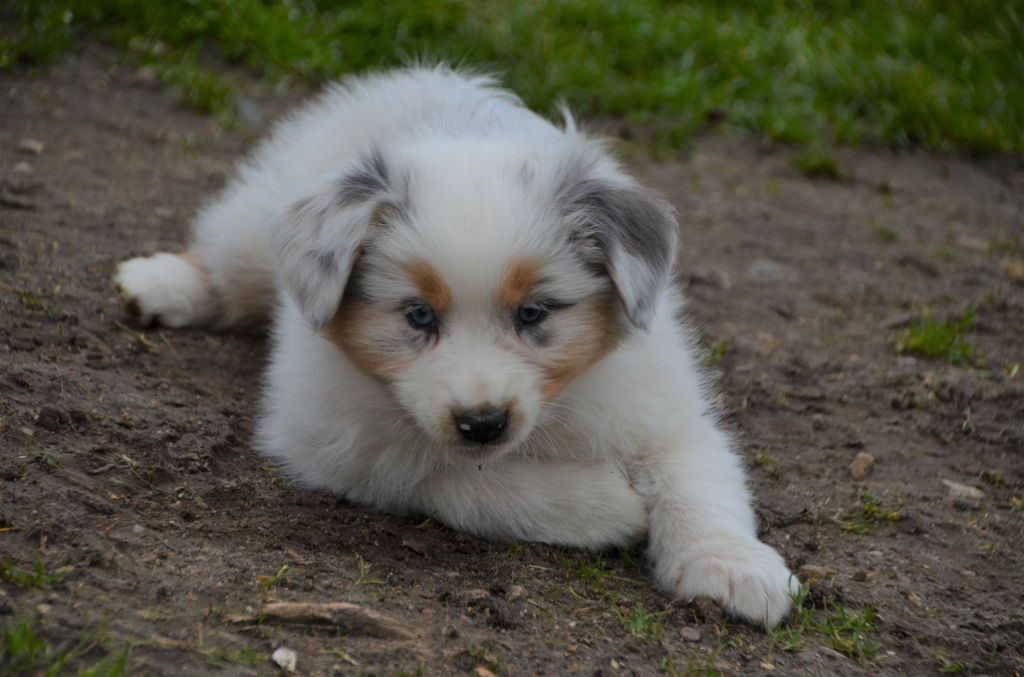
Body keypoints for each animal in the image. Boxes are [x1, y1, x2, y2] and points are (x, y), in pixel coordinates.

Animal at [115, 66, 798, 626]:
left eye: (532, 313)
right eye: (418, 316)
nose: (484, 423)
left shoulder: (662, 403)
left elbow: (698, 477)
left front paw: (734, 568)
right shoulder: (343, 445)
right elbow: (459, 479)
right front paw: (611, 506)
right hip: (258, 225)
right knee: (226, 265)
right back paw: (158, 283)